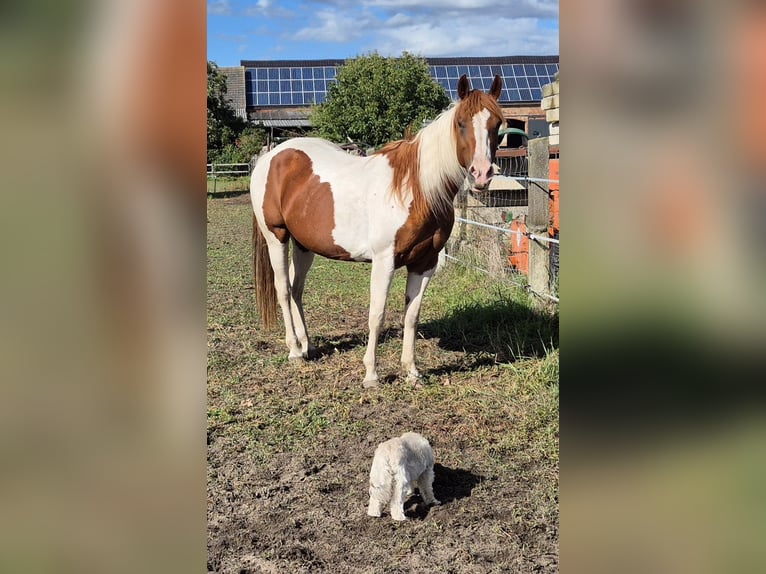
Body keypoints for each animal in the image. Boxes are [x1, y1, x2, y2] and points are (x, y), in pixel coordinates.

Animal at [250, 74, 504, 387]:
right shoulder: (384, 260)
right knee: (284, 290)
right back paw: (295, 350)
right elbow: (377, 314)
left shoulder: (425, 263)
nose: (482, 174)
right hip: (276, 237)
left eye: (497, 124)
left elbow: (411, 316)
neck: (415, 190)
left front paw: (412, 371)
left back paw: (307, 345)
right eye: (461, 123)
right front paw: (371, 374)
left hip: (304, 244)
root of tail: (271, 156)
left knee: (297, 289)